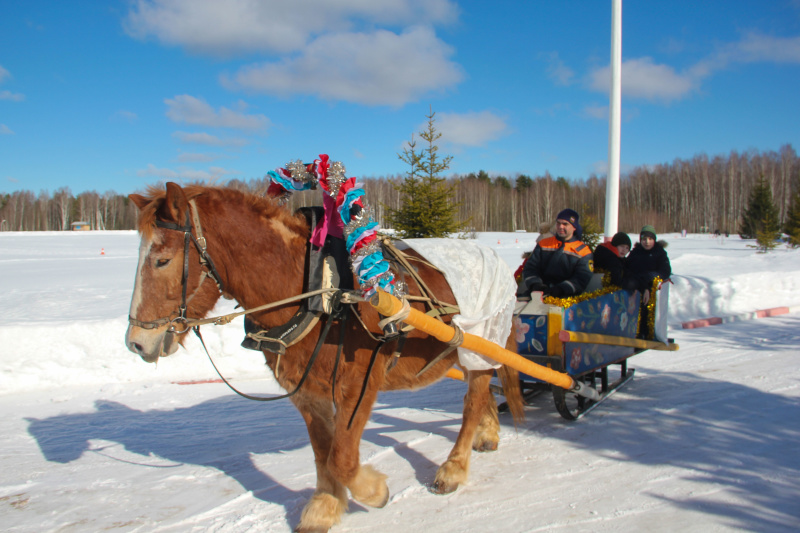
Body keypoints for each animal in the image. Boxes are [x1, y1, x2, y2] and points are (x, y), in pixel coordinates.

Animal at [125, 183, 524, 532]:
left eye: (162, 260)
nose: (137, 343)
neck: (322, 294)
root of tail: (496, 260)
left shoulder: (359, 384)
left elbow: (343, 458)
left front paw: (375, 491)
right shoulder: (306, 392)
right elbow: (323, 453)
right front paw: (326, 507)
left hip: (481, 340)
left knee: (473, 400)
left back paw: (453, 468)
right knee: (484, 391)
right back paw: (488, 433)